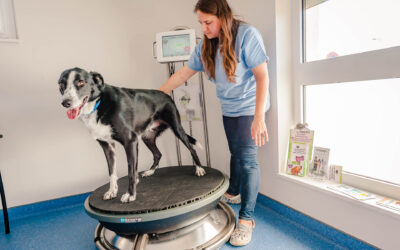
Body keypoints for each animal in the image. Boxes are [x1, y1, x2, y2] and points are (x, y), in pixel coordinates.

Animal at [57, 67, 205, 202]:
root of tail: (165, 94)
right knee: (158, 154)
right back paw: (150, 171)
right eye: (62, 84)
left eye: (81, 82)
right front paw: (112, 191)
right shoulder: (107, 145)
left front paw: (130, 194)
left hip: (177, 129)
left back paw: (199, 169)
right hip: (147, 137)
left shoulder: (130, 141)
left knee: (191, 148)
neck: (98, 104)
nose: (65, 103)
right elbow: (112, 172)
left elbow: (130, 172)